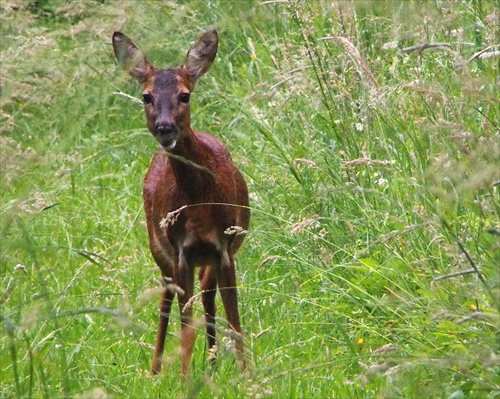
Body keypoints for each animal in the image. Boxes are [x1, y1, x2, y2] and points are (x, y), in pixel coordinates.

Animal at [111, 29, 248, 380]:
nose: (164, 127)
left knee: (207, 297)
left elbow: (234, 317)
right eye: (146, 97)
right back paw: (157, 369)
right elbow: (186, 327)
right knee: (167, 300)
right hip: (159, 247)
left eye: (185, 95)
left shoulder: (224, 247)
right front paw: (186, 379)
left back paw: (212, 361)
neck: (199, 206)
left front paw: (246, 375)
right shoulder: (181, 250)